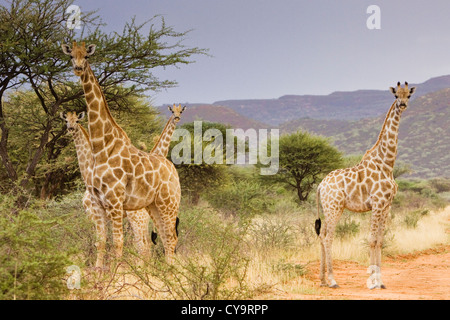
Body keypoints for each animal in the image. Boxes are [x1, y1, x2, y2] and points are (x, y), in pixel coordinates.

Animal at [59, 111, 152, 266]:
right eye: (66, 120)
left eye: (77, 120)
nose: (70, 128)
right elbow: (102, 240)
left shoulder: (93, 213)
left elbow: (99, 241)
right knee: (147, 244)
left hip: (137, 219)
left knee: (143, 245)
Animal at [316, 81, 414, 288]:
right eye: (396, 96)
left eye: (408, 95)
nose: (402, 105)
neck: (387, 163)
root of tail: (320, 185)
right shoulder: (377, 203)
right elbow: (371, 240)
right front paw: (374, 282)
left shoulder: (387, 205)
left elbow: (379, 240)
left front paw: (381, 282)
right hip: (334, 208)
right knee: (328, 238)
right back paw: (333, 280)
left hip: (330, 208)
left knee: (322, 235)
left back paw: (322, 280)